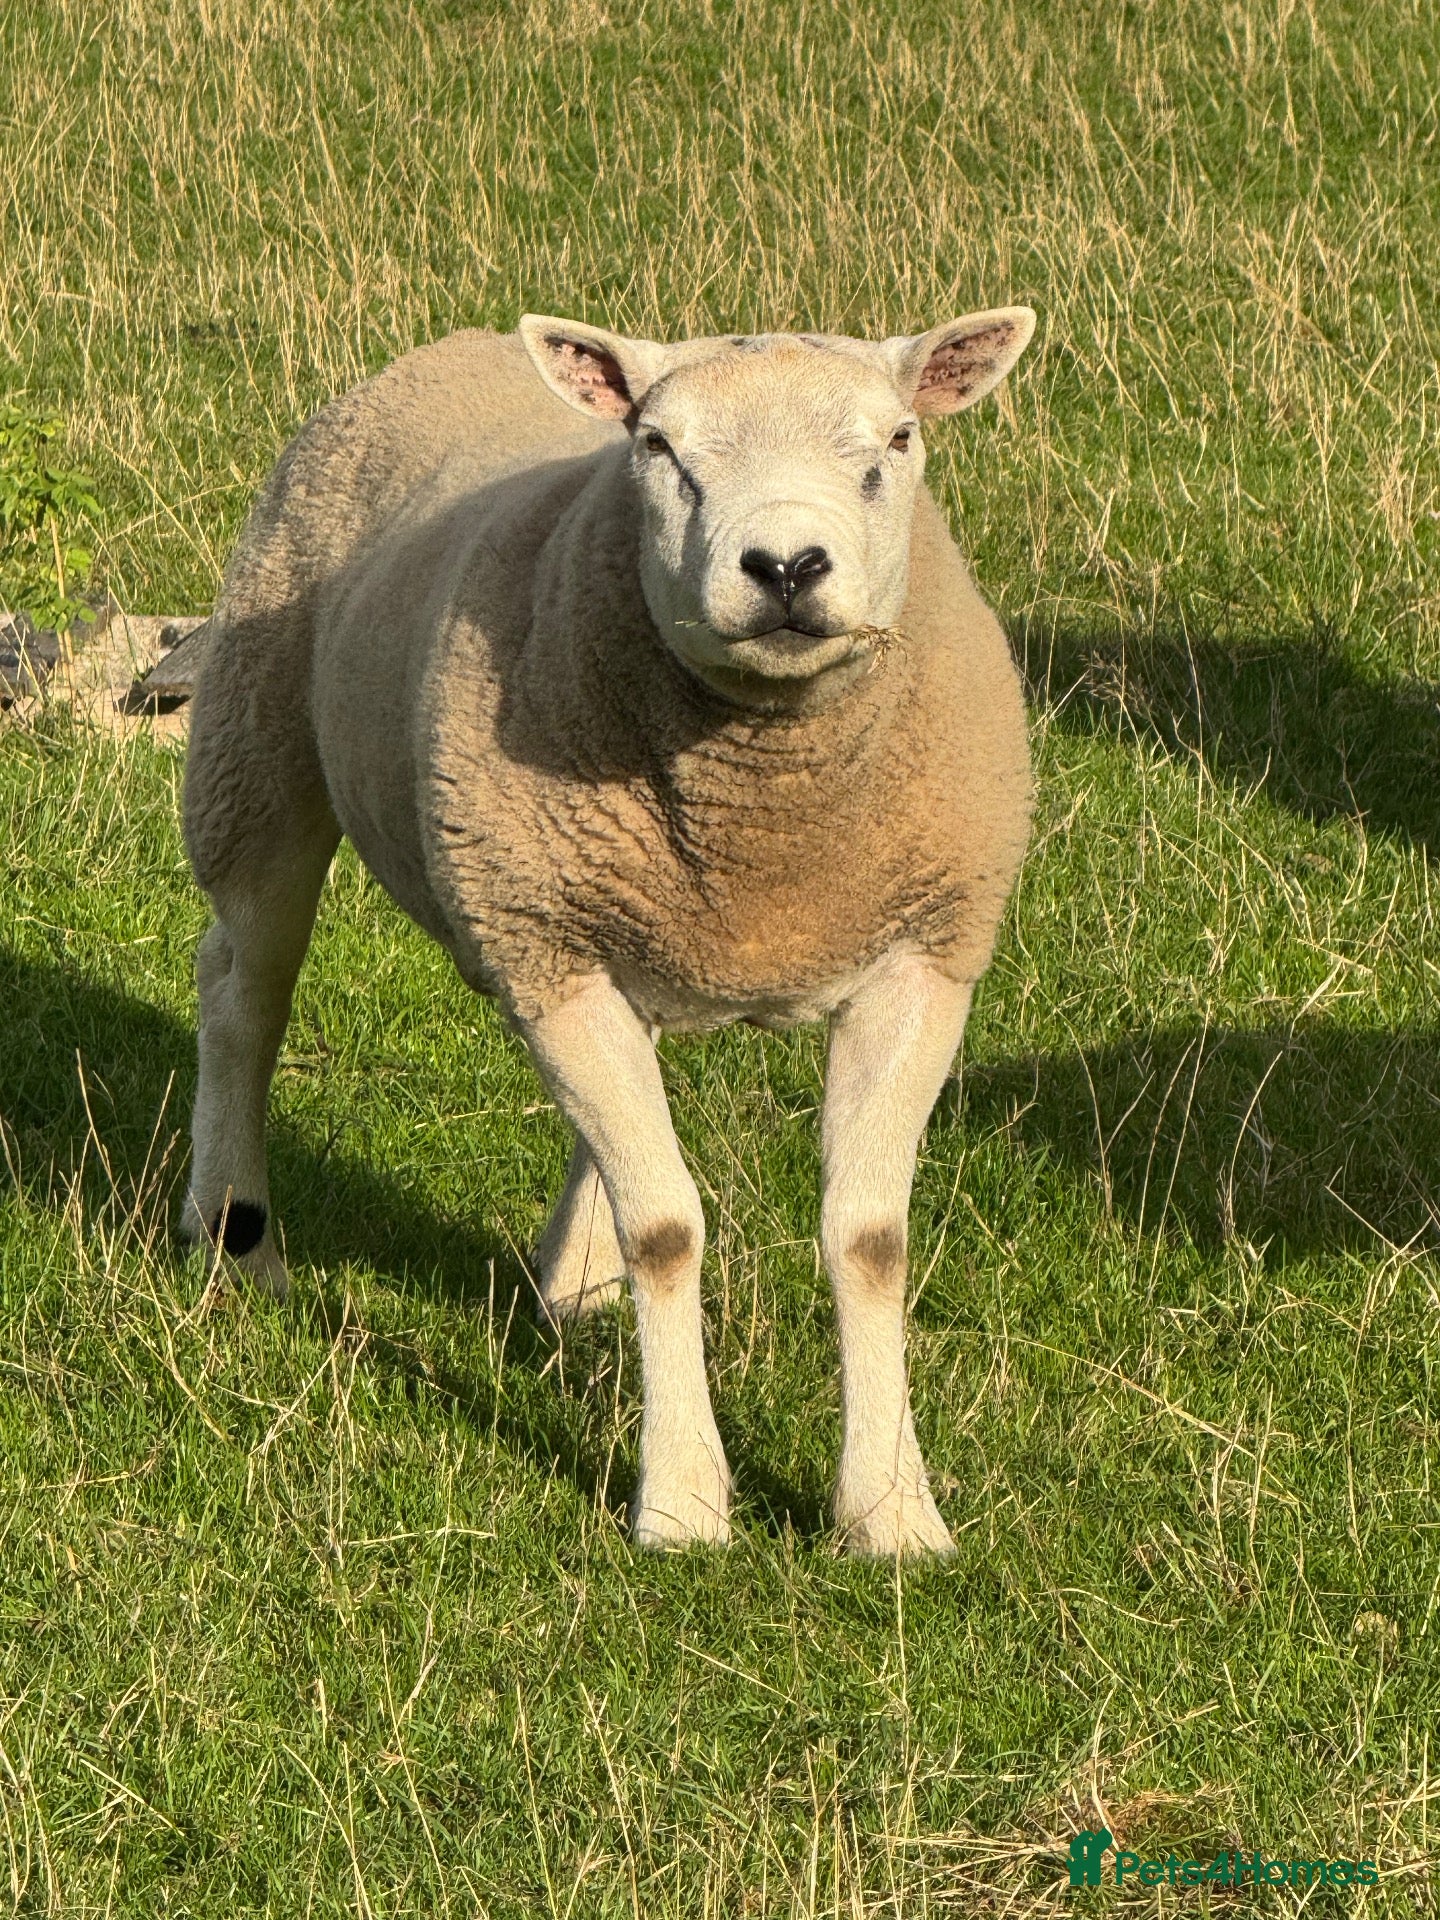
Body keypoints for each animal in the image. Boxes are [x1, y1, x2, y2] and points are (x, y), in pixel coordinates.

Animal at [181, 308, 1035, 1556]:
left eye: (898, 438)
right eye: (659, 449)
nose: (786, 567)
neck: (767, 811)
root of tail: (462, 337)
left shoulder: (923, 959)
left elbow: (869, 1239)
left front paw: (890, 1512)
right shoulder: (550, 955)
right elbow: (669, 1230)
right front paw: (682, 1502)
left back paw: (575, 1280)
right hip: (261, 737)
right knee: (245, 990)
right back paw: (232, 1237)